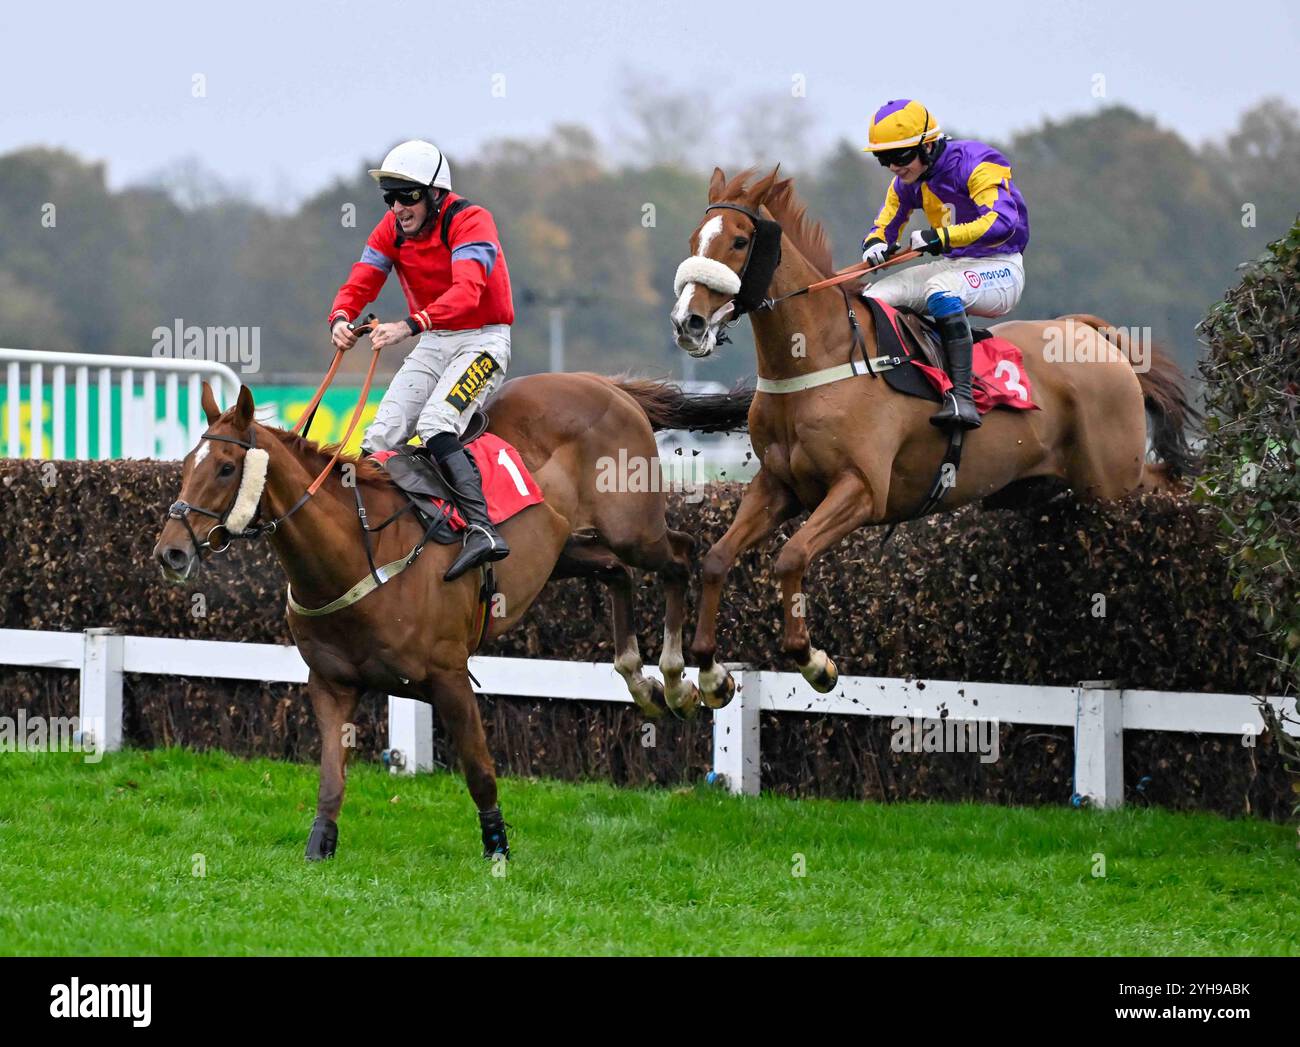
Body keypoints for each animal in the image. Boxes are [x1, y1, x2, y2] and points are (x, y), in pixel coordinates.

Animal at [153, 374, 748, 858]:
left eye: (226, 468)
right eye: (184, 467)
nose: (171, 552)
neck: (356, 555)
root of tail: (608, 386)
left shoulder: (449, 676)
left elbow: (480, 771)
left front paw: (497, 849)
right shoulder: (331, 683)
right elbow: (330, 779)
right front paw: (319, 847)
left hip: (633, 527)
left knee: (681, 554)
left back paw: (688, 678)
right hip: (565, 550)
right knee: (617, 573)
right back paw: (640, 680)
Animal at [676, 167, 1190, 707]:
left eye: (739, 241)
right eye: (695, 239)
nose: (688, 323)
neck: (820, 358)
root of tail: (1088, 331)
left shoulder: (861, 489)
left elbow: (791, 556)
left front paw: (813, 659)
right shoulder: (778, 485)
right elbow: (715, 558)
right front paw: (709, 671)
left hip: (1112, 481)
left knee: (1164, 484)